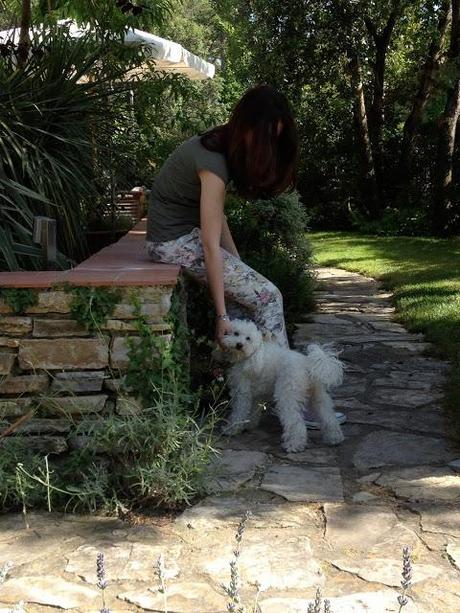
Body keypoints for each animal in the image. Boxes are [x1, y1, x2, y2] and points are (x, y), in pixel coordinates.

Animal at [220, 318, 344, 452]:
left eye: (248, 338)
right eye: (236, 333)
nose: (239, 344)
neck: (254, 354)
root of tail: (307, 365)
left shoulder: (242, 392)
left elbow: (239, 411)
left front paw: (231, 429)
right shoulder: (256, 395)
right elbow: (253, 410)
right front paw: (249, 424)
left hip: (287, 394)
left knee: (295, 422)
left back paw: (294, 445)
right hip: (318, 395)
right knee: (328, 416)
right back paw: (334, 438)